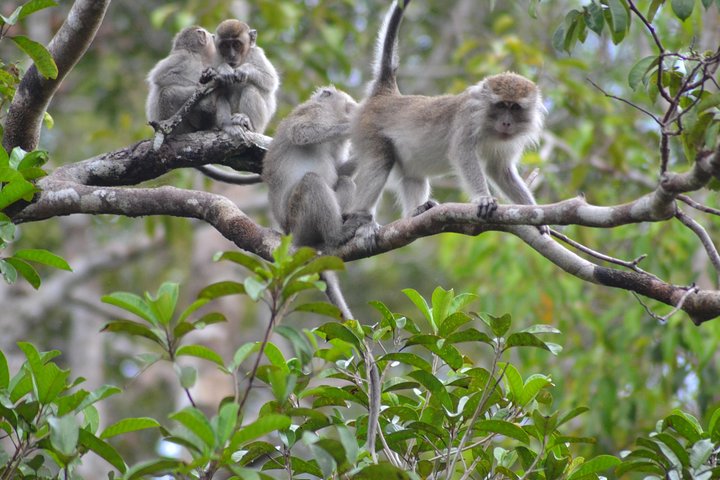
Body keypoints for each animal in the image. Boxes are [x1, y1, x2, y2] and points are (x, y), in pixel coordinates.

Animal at [344, 0, 548, 235]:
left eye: (515, 107)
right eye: (501, 105)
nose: (506, 122)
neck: (487, 124)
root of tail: (385, 95)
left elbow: (500, 170)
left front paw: (534, 212)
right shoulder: (467, 120)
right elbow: (462, 152)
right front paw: (483, 198)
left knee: (412, 175)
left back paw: (415, 212)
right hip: (367, 128)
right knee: (380, 162)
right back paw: (359, 217)